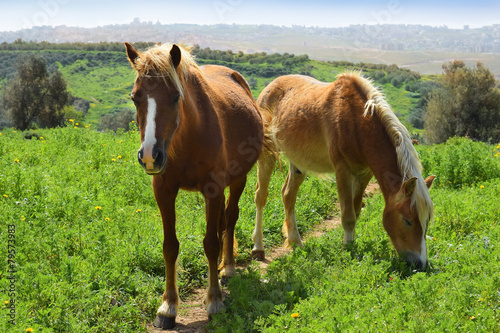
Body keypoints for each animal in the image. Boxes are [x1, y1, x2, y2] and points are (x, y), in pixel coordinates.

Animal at [125, 40, 264, 326]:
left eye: (175, 97)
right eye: (135, 97)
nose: (150, 155)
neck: (188, 137)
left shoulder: (214, 190)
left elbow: (210, 243)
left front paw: (214, 301)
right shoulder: (164, 192)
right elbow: (170, 247)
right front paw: (167, 306)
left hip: (238, 180)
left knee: (230, 218)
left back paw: (228, 268)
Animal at [252, 72, 436, 268]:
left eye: (426, 221)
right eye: (407, 220)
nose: (420, 264)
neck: (357, 121)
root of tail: (269, 88)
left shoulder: (364, 174)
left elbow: (356, 211)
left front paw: (352, 244)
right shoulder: (342, 171)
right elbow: (348, 216)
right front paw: (348, 249)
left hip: (298, 163)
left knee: (288, 195)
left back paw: (296, 242)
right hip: (268, 153)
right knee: (261, 196)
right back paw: (258, 248)